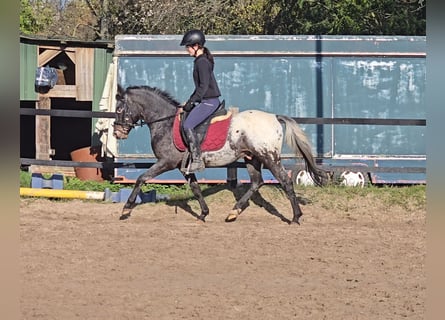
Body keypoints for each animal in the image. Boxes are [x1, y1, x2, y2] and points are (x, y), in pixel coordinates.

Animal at [112, 86, 324, 224]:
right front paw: (204, 213)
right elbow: (196, 188)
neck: (165, 122)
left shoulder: (166, 162)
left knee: (285, 181)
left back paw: (296, 217)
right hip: (252, 158)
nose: (117, 133)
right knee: (257, 182)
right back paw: (233, 213)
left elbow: (141, 178)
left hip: (268, 157)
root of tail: (274, 117)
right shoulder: (183, 166)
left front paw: (126, 209)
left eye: (119, 109)